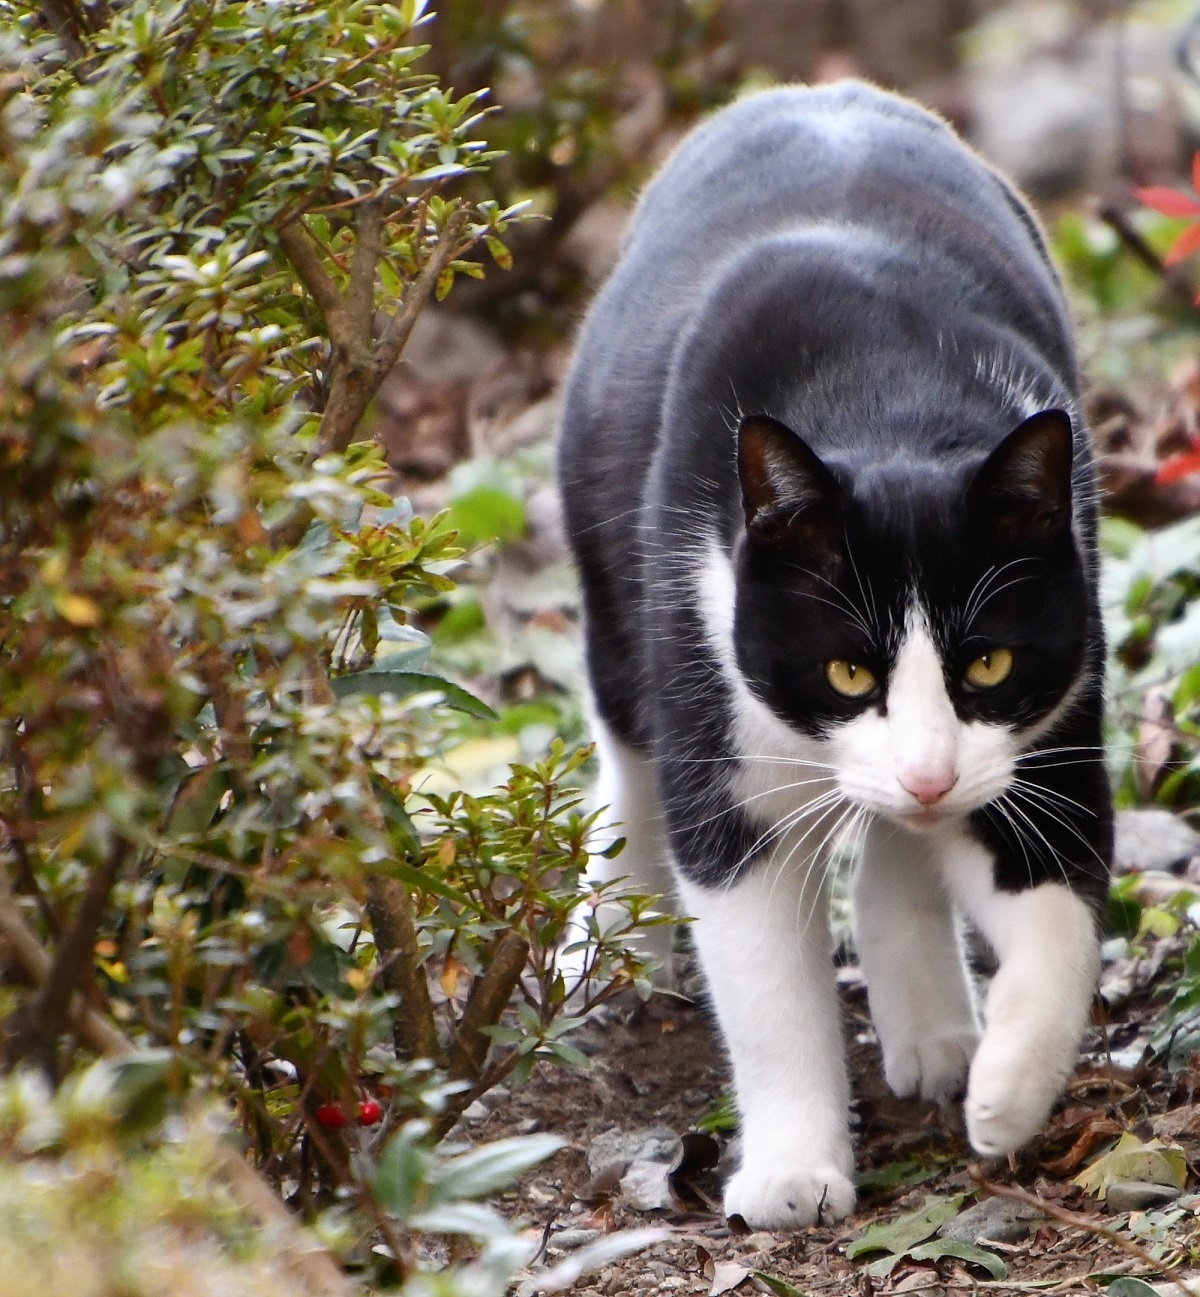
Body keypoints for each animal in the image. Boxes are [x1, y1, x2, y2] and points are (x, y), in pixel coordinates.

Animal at [556, 80, 1113, 1231]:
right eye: (848, 670)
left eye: (989, 665)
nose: (930, 771)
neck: (886, 395)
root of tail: (815, 87)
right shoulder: (723, 730)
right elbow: (769, 991)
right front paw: (789, 1173)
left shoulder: (1051, 717)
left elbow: (1061, 900)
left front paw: (1007, 1091)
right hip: (616, 585)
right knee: (625, 740)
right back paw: (609, 937)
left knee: (904, 842)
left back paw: (938, 1026)